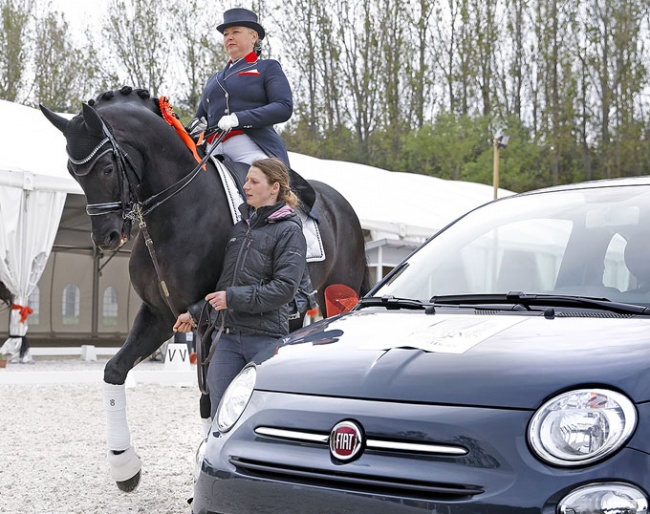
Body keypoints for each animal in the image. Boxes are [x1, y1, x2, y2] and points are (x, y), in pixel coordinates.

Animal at [40, 86, 368, 490]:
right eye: (73, 172)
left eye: (105, 168)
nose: (107, 237)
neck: (178, 208)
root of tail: (342, 205)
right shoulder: (161, 315)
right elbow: (114, 371)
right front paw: (124, 466)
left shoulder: (210, 318)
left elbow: (212, 396)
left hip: (338, 294)